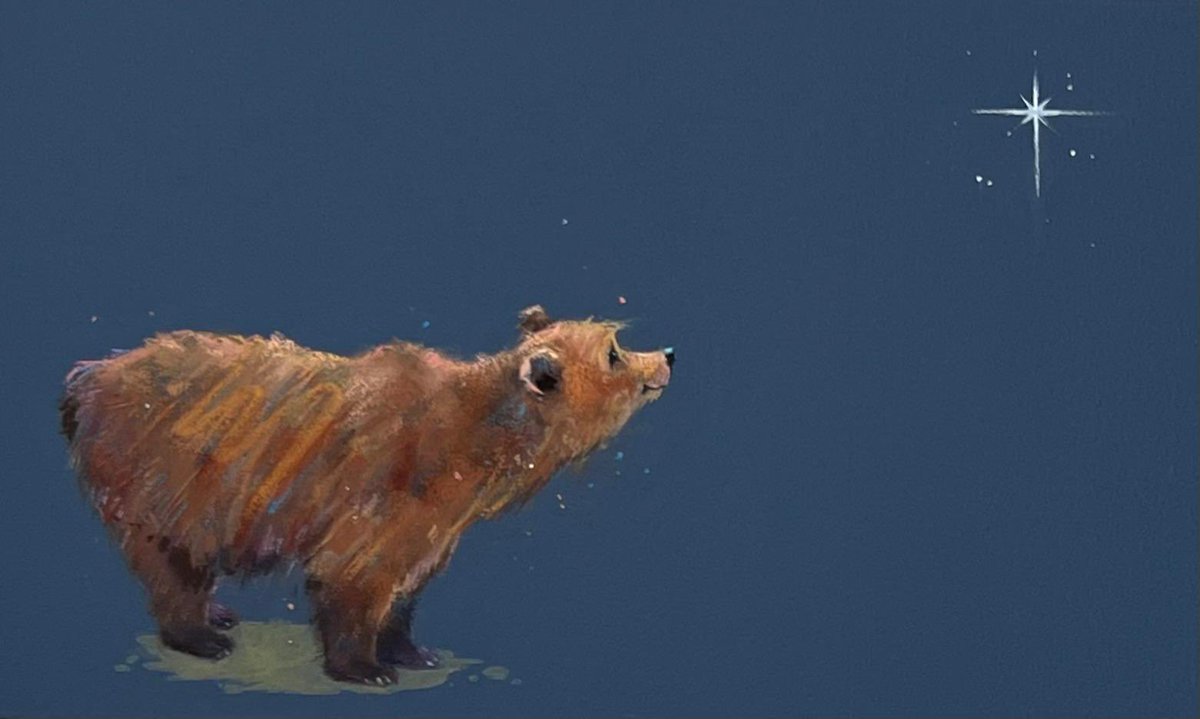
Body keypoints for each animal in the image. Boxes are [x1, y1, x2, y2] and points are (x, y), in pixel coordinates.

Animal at [59, 305, 673, 685]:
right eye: (614, 352)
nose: (667, 354)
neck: (471, 446)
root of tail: (88, 377)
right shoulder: (381, 484)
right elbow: (354, 574)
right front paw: (366, 666)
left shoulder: (439, 520)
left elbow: (406, 582)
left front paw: (411, 649)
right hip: (167, 476)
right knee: (172, 561)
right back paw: (202, 635)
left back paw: (219, 611)